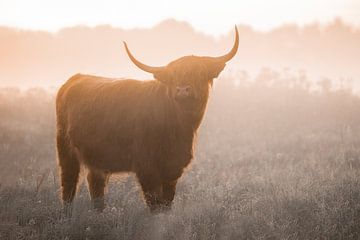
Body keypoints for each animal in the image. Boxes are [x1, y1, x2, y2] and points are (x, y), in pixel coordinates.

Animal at [55, 25, 239, 211]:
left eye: (200, 73)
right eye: (172, 76)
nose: (182, 91)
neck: (180, 127)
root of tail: (76, 78)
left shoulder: (173, 170)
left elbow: (166, 204)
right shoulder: (147, 169)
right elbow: (155, 204)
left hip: (97, 158)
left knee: (95, 185)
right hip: (66, 150)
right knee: (68, 186)